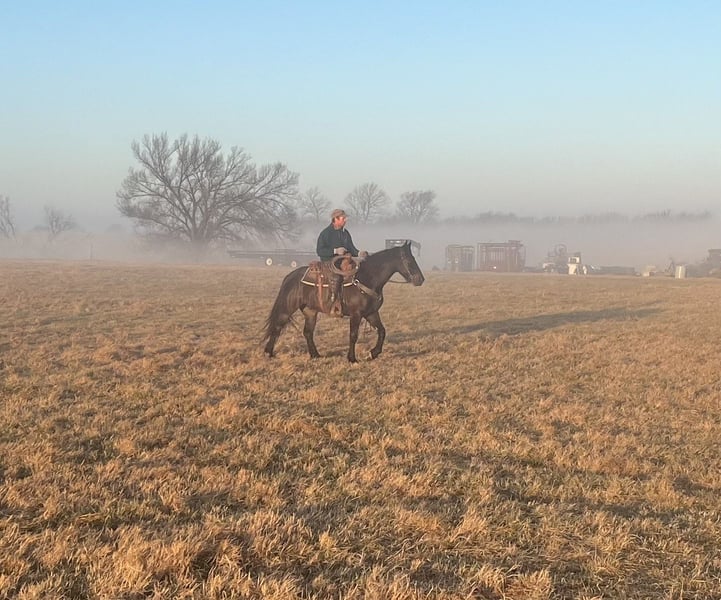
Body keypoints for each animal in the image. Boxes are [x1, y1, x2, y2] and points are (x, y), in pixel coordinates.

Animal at [262, 241, 425, 362]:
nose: (420, 280)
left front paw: (373, 353)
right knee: (277, 326)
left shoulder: (371, 313)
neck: (368, 279)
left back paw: (315, 355)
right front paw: (352, 358)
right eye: (409, 261)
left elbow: (382, 331)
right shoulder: (356, 314)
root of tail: (290, 276)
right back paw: (268, 353)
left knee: (308, 332)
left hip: (310, 311)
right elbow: (353, 335)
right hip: (287, 309)